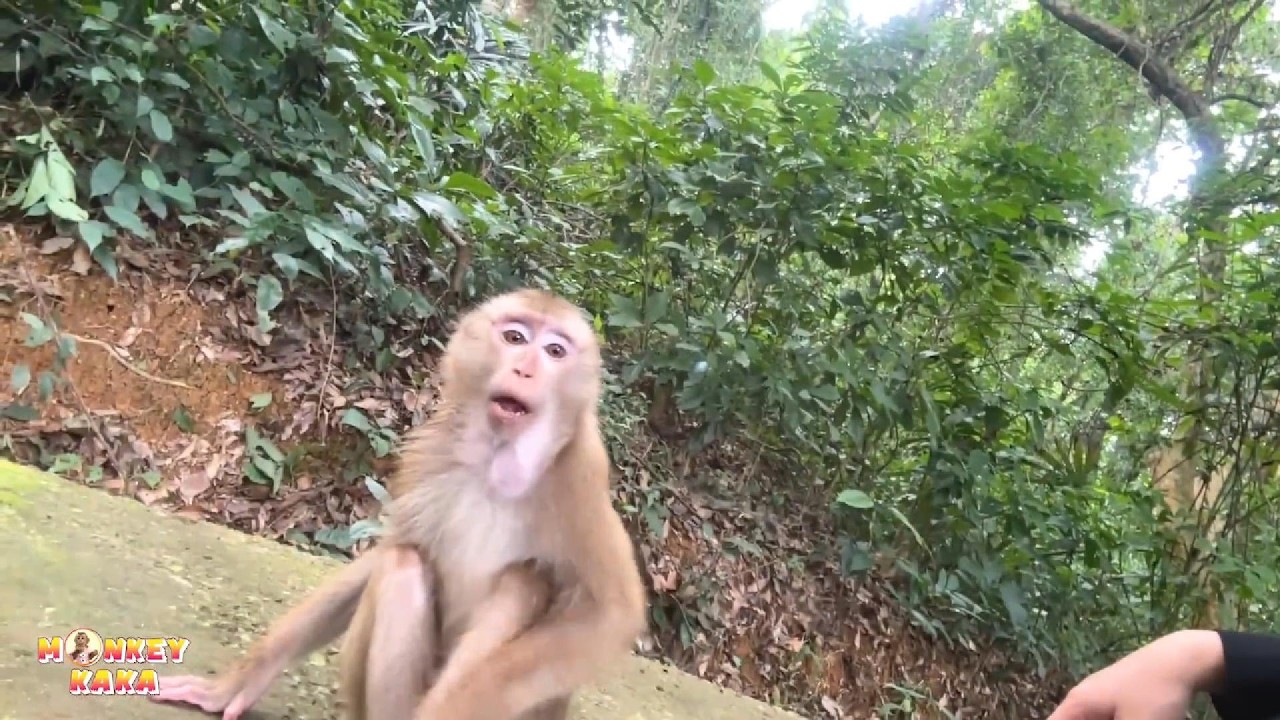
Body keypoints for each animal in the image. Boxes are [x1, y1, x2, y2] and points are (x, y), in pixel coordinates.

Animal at [150, 288, 648, 720]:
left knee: (526, 580)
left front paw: (448, 711)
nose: (526, 370)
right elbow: (394, 549)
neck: (496, 458)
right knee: (404, 565)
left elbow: (612, 614)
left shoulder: (581, 477)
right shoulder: (430, 452)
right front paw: (237, 684)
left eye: (555, 352)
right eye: (515, 339)